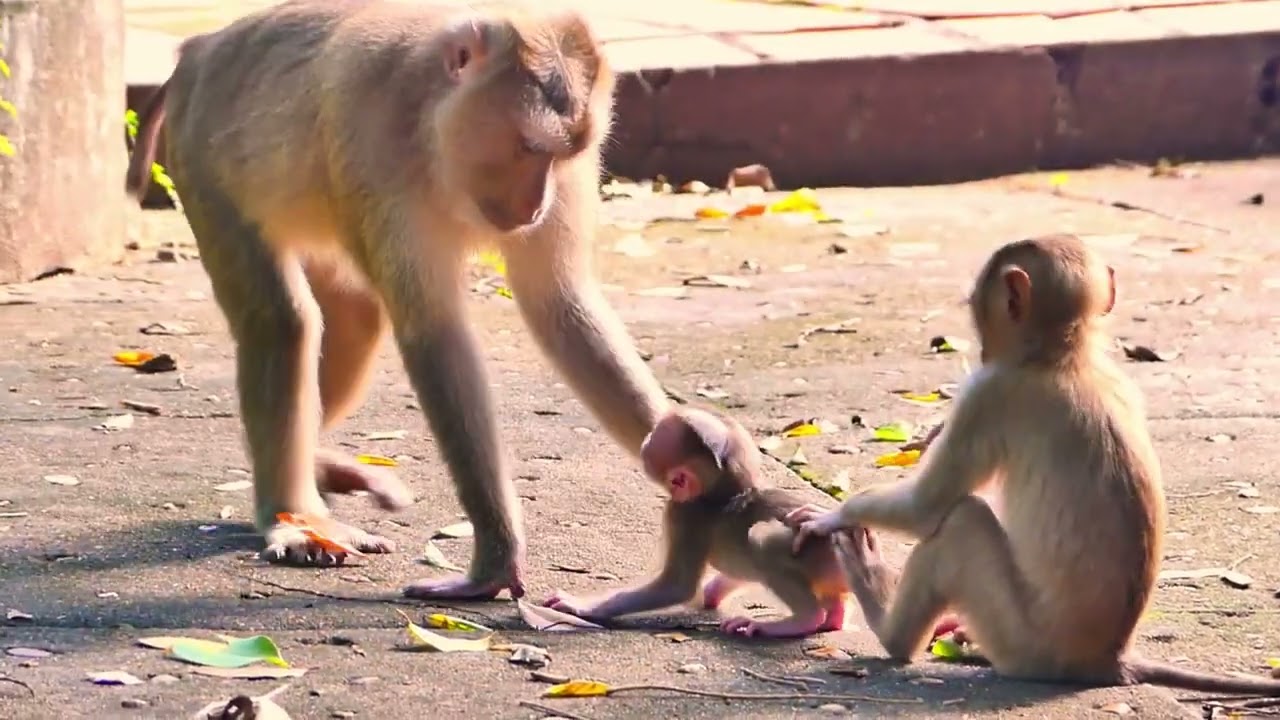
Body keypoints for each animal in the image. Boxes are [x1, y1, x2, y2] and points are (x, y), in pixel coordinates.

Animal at [124, 0, 671, 600]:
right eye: (530, 147)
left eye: (564, 156)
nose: (537, 205)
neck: (432, 113)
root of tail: (200, 49)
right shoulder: (374, 143)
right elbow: (435, 334)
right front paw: (495, 558)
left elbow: (559, 305)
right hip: (204, 163)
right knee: (282, 322)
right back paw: (292, 517)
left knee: (357, 319)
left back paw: (319, 465)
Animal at [541, 407, 851, 638]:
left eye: (656, 436)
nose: (647, 436)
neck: (728, 492)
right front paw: (713, 592)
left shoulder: (682, 514)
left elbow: (677, 585)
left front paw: (582, 606)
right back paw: (833, 617)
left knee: (764, 538)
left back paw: (802, 620)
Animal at [784, 234, 1280, 695]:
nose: (983, 350)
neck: (1064, 356)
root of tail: (1106, 659)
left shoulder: (988, 394)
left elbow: (927, 508)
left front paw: (832, 514)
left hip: (1023, 642)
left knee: (962, 522)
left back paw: (889, 627)